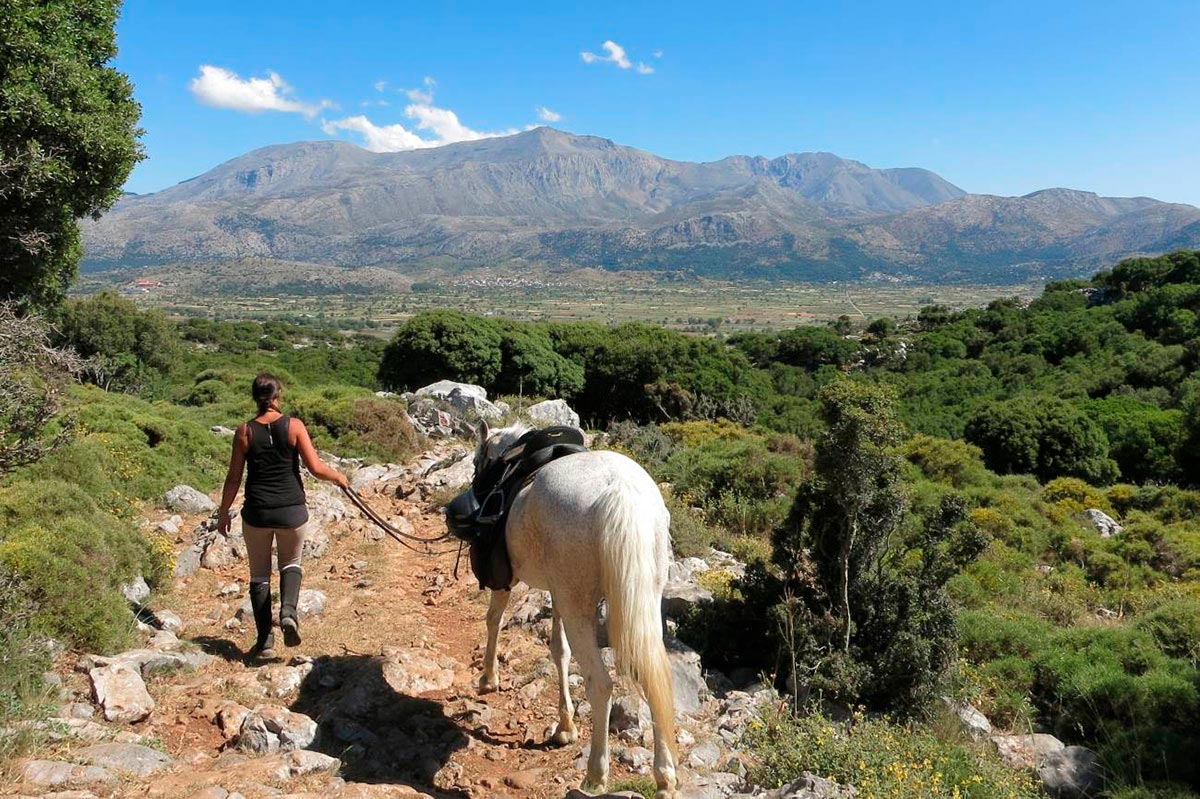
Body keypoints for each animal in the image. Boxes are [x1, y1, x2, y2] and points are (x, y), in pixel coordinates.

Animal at [472, 419, 681, 791]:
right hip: (639, 603)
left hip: (579, 609)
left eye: (476, 462)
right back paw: (664, 777)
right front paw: (565, 727)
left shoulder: (508, 580)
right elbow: (559, 650)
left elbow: (494, 618)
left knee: (600, 684)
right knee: (655, 679)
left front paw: (488, 678)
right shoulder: (559, 594)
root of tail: (621, 491)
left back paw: (596, 775)